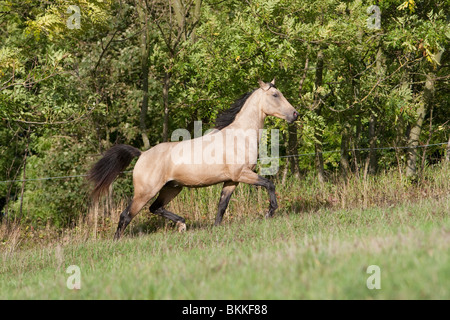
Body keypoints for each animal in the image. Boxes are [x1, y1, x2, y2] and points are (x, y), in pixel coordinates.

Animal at [88, 79, 298, 240]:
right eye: (275, 95)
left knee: (155, 208)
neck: (239, 136)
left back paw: (182, 224)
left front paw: (216, 228)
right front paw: (269, 213)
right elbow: (269, 184)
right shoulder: (242, 174)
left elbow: (221, 206)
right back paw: (117, 242)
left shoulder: (231, 181)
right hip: (145, 192)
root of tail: (142, 154)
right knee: (126, 215)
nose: (295, 114)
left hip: (172, 188)